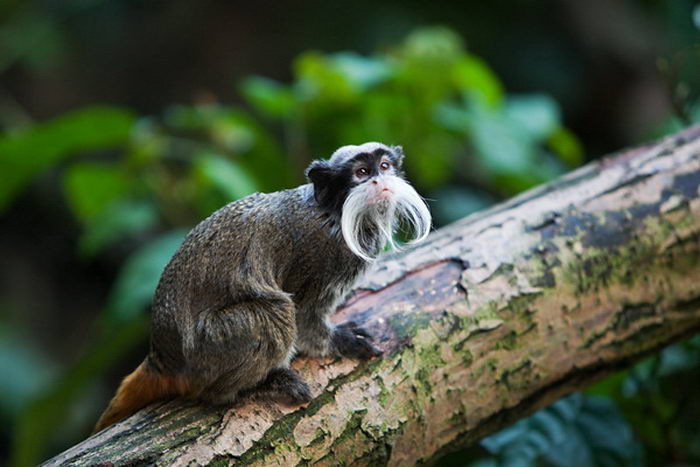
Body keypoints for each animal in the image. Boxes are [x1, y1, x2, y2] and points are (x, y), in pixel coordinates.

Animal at [93, 143, 432, 436]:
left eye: (385, 166)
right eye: (362, 172)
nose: (380, 180)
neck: (334, 213)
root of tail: (161, 355)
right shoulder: (317, 257)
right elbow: (304, 315)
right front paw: (337, 342)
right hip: (207, 349)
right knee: (274, 312)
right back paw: (251, 387)